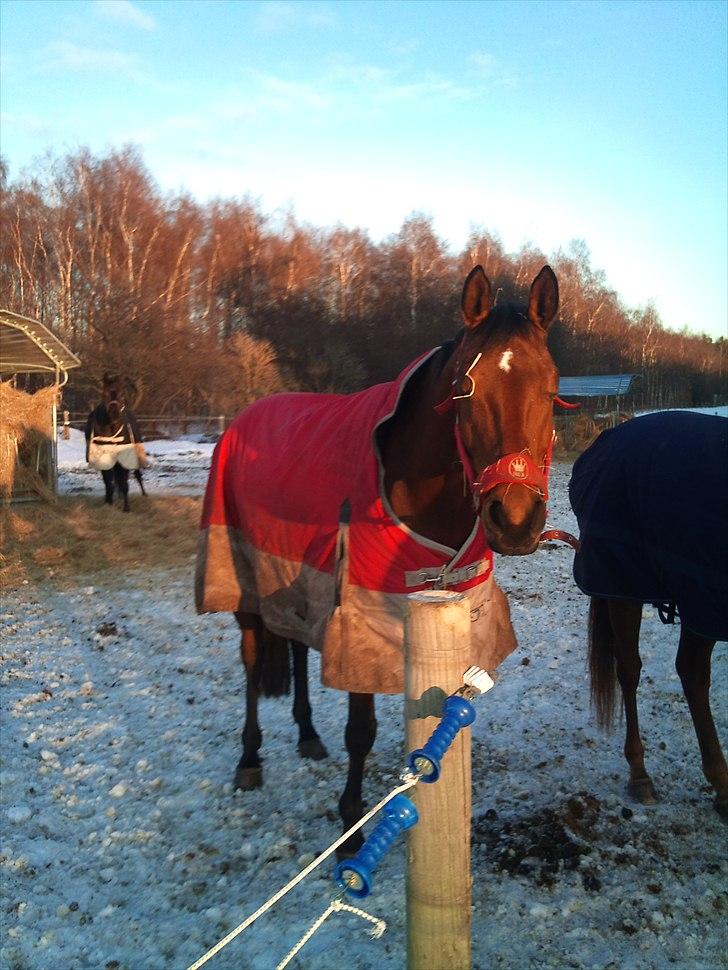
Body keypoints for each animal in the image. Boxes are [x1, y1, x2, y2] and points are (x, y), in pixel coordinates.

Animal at [196, 264, 560, 848]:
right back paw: (249, 759)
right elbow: (361, 730)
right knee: (252, 661)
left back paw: (307, 734)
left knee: (295, 646)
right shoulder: (359, 620)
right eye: (463, 389)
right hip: (240, 580)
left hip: (297, 578)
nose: (516, 519)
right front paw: (351, 823)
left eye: (552, 388)